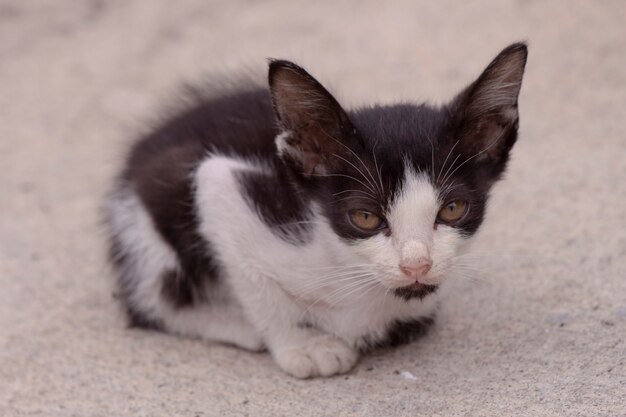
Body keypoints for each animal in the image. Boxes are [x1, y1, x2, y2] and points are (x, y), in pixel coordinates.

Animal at [103, 43, 528, 376]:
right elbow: (256, 283)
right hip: (149, 213)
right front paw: (301, 344)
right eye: (365, 217)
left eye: (453, 209)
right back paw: (234, 323)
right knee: (153, 300)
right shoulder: (223, 183)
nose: (416, 266)